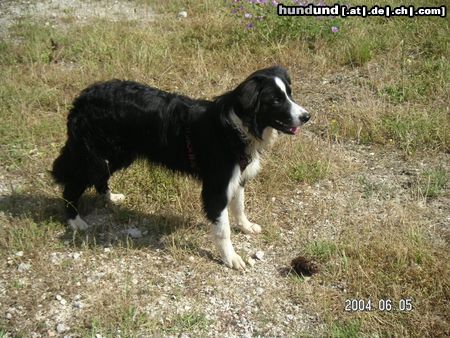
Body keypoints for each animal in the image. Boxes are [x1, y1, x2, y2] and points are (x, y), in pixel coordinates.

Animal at [51, 66, 310, 270]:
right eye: (275, 100)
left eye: (289, 94)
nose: (307, 116)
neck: (239, 128)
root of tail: (82, 98)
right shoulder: (216, 186)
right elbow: (223, 228)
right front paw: (231, 258)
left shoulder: (237, 176)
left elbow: (239, 206)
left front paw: (245, 227)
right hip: (95, 156)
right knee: (72, 185)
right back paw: (75, 221)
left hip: (116, 155)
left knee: (100, 178)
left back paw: (111, 197)